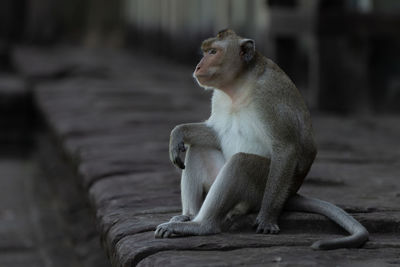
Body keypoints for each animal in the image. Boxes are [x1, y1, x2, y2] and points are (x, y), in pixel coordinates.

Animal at [155, 29, 368, 251]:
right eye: (205, 51)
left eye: (213, 52)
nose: (198, 66)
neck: (238, 84)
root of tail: (290, 194)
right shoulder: (218, 98)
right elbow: (216, 135)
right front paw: (178, 133)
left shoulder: (268, 97)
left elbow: (286, 148)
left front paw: (267, 218)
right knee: (199, 148)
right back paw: (188, 216)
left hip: (256, 192)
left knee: (241, 163)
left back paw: (201, 225)